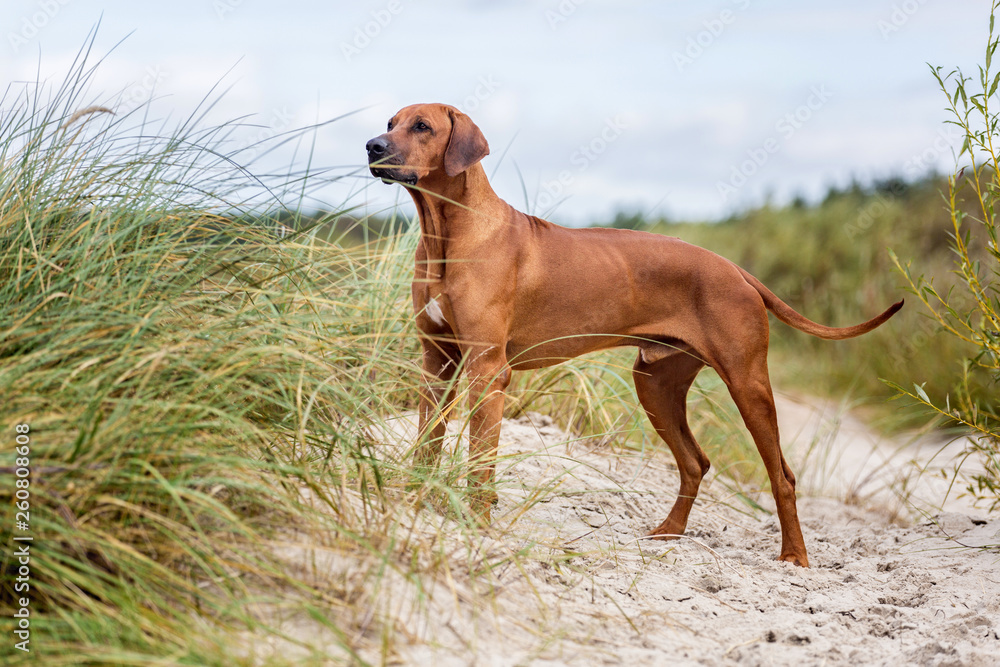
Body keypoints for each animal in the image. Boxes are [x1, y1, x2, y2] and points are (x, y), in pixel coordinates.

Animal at [370, 102, 908, 568]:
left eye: (422, 126)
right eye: (390, 122)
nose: (373, 145)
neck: (448, 235)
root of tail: (735, 269)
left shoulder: (487, 371)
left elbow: (480, 461)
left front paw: (476, 525)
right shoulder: (437, 363)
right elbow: (427, 441)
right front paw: (414, 500)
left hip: (747, 382)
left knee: (783, 475)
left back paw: (794, 558)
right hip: (655, 382)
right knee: (695, 462)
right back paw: (669, 532)